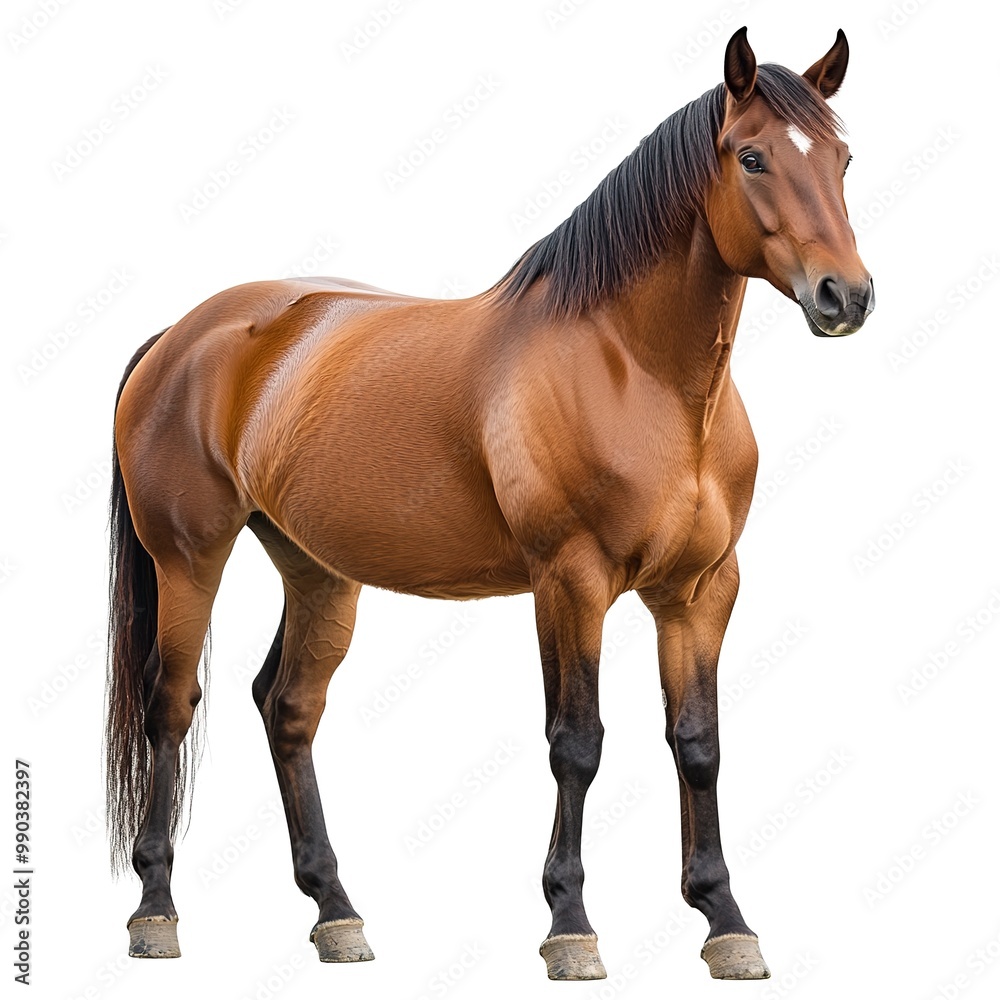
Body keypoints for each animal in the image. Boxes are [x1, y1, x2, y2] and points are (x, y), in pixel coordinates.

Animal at [104, 26, 873, 982]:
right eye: (753, 156)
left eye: (843, 159)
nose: (846, 296)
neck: (639, 374)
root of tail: (182, 334)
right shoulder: (570, 583)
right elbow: (577, 743)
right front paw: (570, 926)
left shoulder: (701, 592)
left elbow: (699, 744)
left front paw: (725, 922)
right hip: (189, 560)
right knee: (171, 705)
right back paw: (156, 912)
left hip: (317, 571)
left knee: (287, 708)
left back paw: (337, 913)